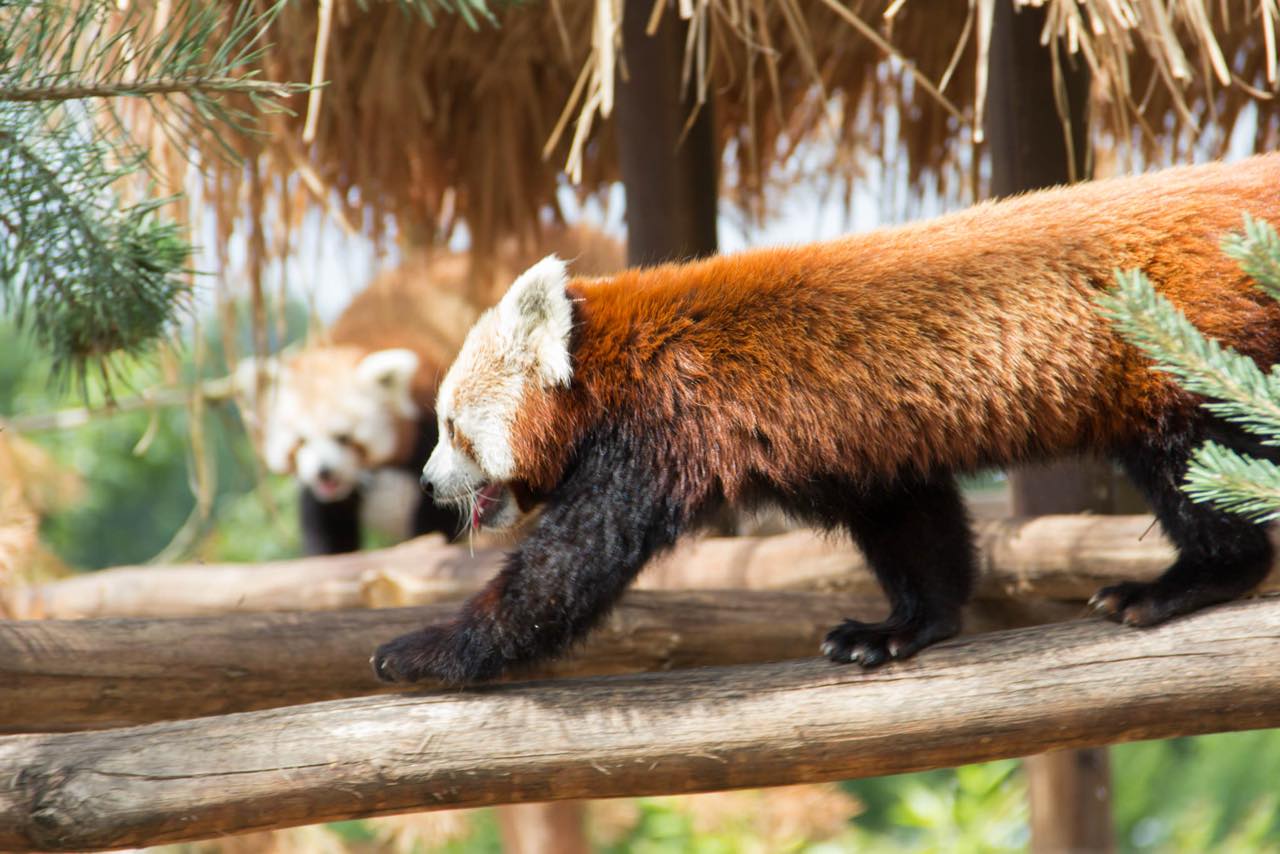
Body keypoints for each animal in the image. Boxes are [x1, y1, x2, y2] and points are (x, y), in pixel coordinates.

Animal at [370, 153, 1280, 684]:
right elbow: (913, 528)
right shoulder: (852, 447)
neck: (617, 358)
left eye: (452, 430)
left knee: (1198, 465)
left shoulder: (661, 430)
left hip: (1186, 345)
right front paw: (903, 628)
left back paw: (1181, 583)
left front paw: (429, 650)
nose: (430, 480)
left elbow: (564, 573)